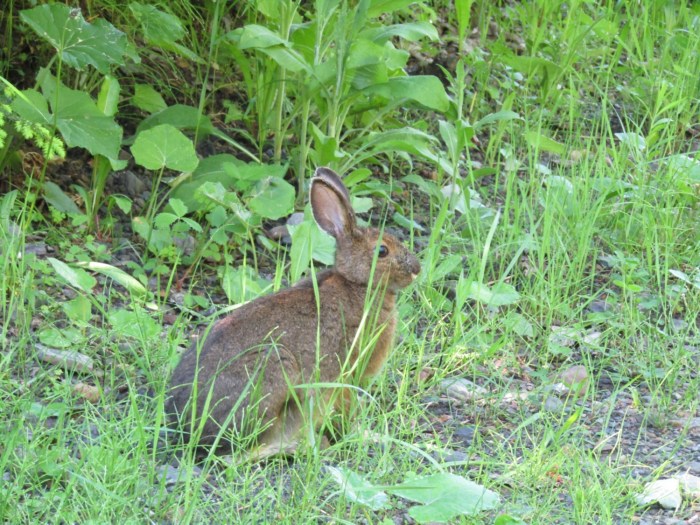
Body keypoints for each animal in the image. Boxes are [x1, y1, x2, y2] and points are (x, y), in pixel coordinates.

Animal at [166, 167, 420, 460]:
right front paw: (358, 434)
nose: (416, 269)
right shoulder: (345, 375)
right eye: (382, 251)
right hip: (273, 371)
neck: (358, 285)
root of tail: (184, 424)